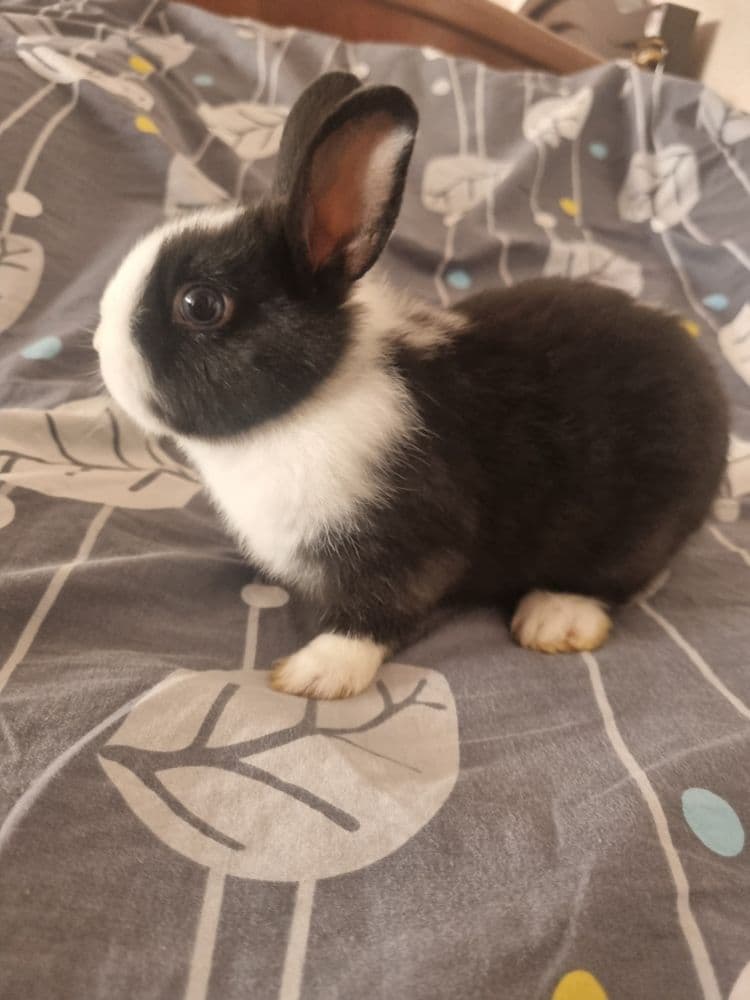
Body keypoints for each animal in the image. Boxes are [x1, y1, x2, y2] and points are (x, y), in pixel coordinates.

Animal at [95, 71, 729, 700]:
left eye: (200, 305)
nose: (101, 346)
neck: (310, 402)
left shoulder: (409, 541)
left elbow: (375, 612)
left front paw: (315, 673)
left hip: (638, 523)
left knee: (623, 576)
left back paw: (555, 617)